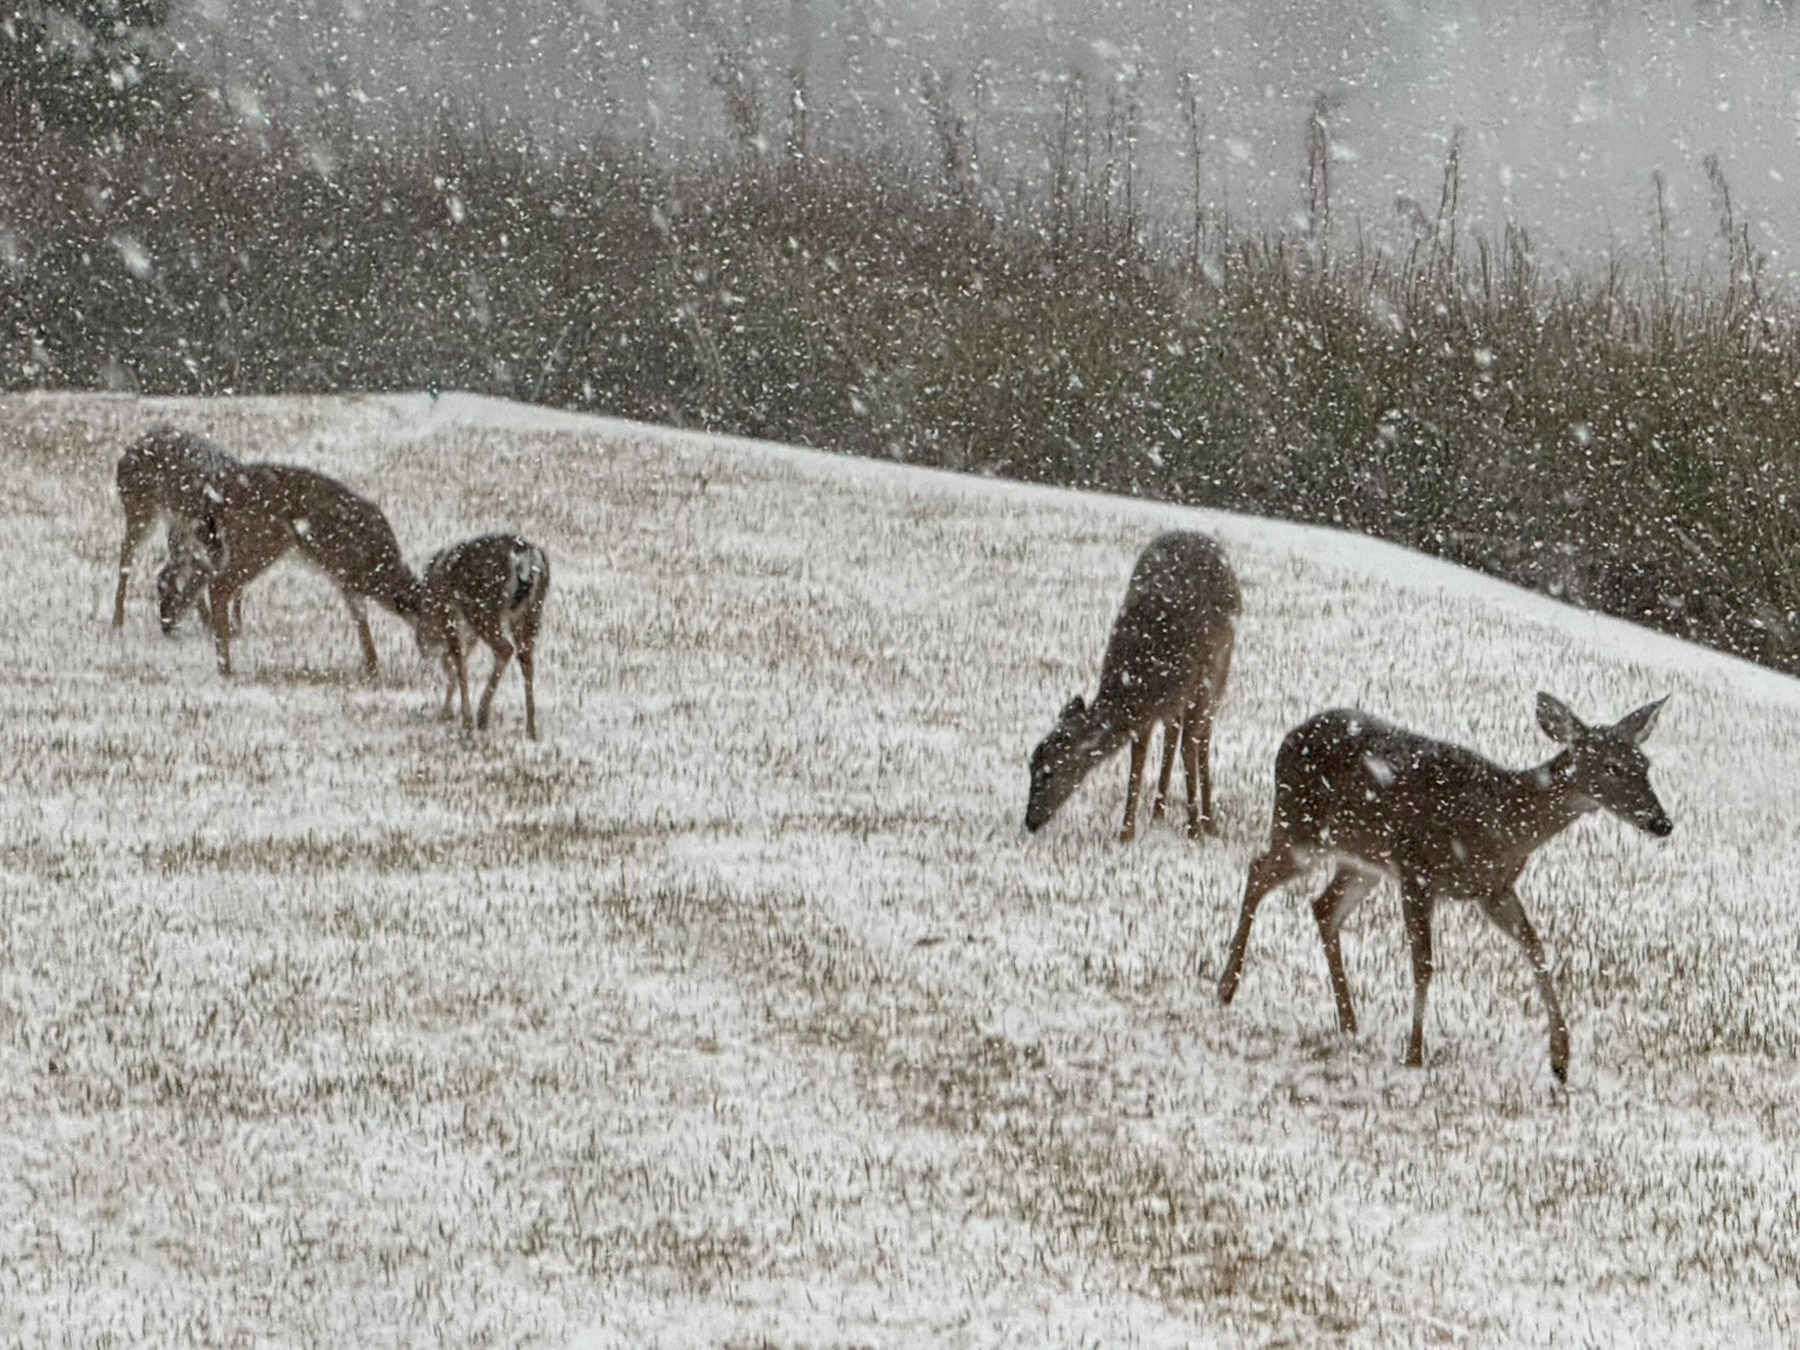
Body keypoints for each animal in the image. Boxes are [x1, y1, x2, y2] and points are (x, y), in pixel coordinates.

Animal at [186, 463, 421, 677]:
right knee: (220, 586)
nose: (426, 657)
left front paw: (372, 665)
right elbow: (360, 614)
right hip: (260, 540)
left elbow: (359, 617)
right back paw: (226, 665)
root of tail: (221, 498)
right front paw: (373, 667)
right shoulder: (349, 573)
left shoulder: (345, 581)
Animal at [413, 534, 550, 739]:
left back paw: (481, 715)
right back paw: (531, 729)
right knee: (526, 659)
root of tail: (527, 560)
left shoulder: (450, 616)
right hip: (531, 612)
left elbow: (457, 660)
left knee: (505, 649)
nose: (422, 646)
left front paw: (462, 719)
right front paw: (449, 713)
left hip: (482, 608)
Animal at [1026, 530, 1241, 843]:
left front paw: (1195, 831)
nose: (1030, 821)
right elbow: (1138, 761)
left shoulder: (1198, 684)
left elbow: (1190, 746)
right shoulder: (1149, 711)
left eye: (1048, 772)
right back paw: (1158, 813)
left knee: (1201, 736)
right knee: (1173, 735)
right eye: (1031, 765)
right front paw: (1127, 832)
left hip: (1220, 665)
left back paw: (1209, 822)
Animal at [1217, 693, 1673, 1083]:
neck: (1505, 822)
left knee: (1323, 906)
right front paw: (1414, 1055)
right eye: (1611, 766)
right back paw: (1227, 987)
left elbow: (1536, 949)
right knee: (1258, 871)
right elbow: (1424, 964)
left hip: (1361, 861)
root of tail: (1292, 734)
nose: (1661, 822)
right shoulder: (1418, 871)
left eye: (1645, 765)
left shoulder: (1493, 890)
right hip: (1300, 828)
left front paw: (1560, 1059)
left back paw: (1348, 1022)